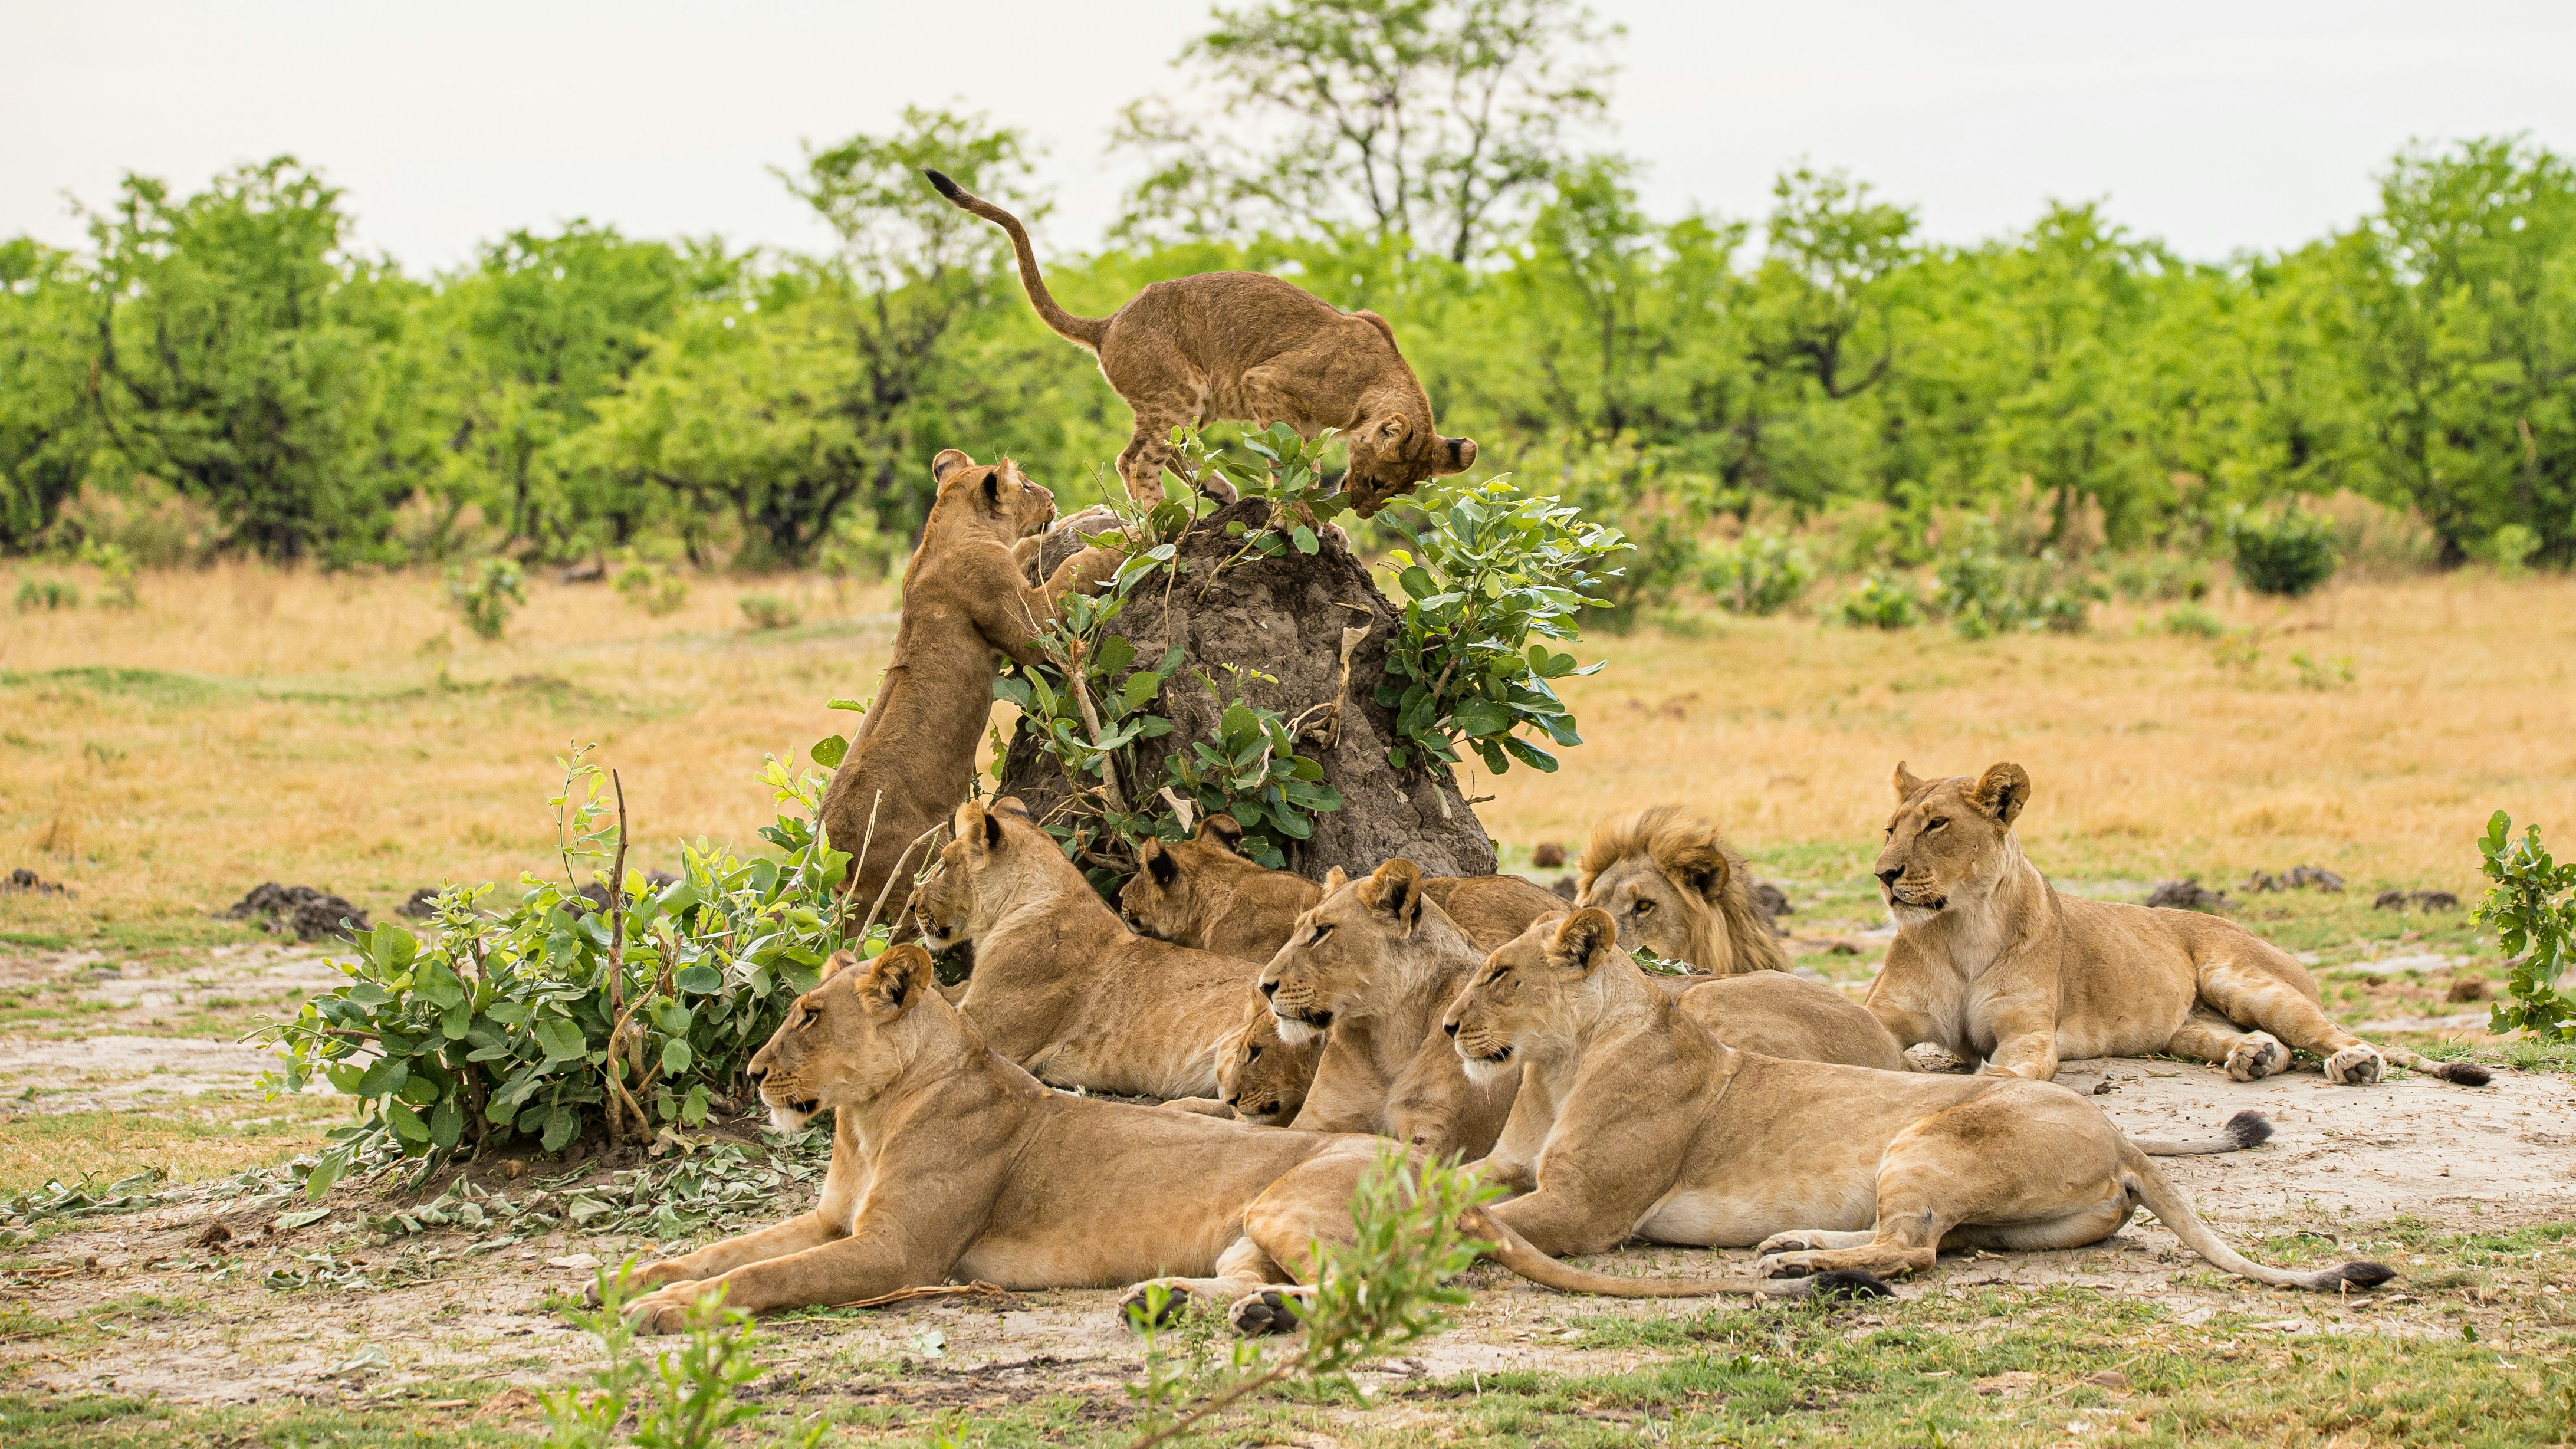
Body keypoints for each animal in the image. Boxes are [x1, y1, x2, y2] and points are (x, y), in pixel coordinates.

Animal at [608, 942, 1878, 1334]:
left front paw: (665, 1310)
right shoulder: (834, 1213)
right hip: (1247, 1230)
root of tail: (1440, 1183)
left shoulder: (894, 1253)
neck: (868, 1119)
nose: (754, 1075)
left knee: (1380, 1291)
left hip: (1290, 1198)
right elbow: (728, 1246)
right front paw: (630, 1277)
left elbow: (763, 1277)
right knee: (1261, 1281)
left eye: (809, 1016)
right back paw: (1173, 1302)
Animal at [819, 451, 1120, 918]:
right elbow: (1072, 571)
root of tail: (837, 846)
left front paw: (1089, 514)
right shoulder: (1028, 628)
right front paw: (1121, 540)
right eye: (1027, 486)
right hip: (912, 868)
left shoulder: (1008, 563)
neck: (948, 530)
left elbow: (1028, 546)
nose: (1052, 497)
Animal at [925, 170, 1476, 516]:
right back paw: (1163, 522)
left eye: (1393, 493)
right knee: (1136, 460)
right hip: (1181, 389)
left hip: (1195, 400)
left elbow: (1303, 460)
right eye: (1380, 483)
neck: (1378, 381)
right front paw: (1306, 518)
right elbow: (1294, 463)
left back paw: (1215, 491)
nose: (1362, 514)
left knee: (1156, 450)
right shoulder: (1266, 381)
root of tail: (1109, 323)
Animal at [1440, 910, 2397, 1292]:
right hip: (1999, 1220)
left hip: (1924, 1140)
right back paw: (1797, 1244)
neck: (1556, 1065)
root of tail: (2121, 1135)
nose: (1448, 1026)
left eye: (1501, 975)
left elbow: (1470, 1213)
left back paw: (1798, 1269)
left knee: (1912, 1250)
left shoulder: (1586, 1208)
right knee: (1931, 1240)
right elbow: (1445, 1181)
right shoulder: (1511, 1164)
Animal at [1867, 762, 2490, 1087]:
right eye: (1891, 828)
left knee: (2331, 1033)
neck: (1962, 926)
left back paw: (2355, 1063)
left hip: (2244, 979)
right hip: (2187, 1027)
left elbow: (2013, 1069)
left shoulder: (2027, 1029)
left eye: (1937, 825)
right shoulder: (1886, 1013)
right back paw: (2255, 1057)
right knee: (2261, 1044)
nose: (1883, 873)